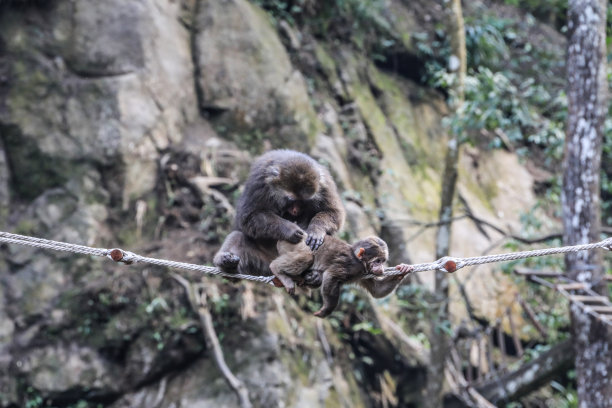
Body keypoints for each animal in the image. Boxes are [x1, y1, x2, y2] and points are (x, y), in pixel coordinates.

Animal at [214, 150, 344, 278]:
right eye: (291, 200)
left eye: (304, 202)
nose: (295, 210)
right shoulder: (259, 181)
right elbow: (249, 216)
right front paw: (290, 229)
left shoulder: (325, 184)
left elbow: (334, 213)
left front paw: (315, 230)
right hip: (263, 263)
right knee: (237, 236)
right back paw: (227, 263)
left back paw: (314, 276)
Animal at [270, 234, 414, 318]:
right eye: (378, 261)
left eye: (383, 261)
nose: (381, 267)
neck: (359, 260)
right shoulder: (352, 266)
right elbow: (331, 276)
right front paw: (327, 310)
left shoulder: (362, 273)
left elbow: (377, 290)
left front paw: (403, 270)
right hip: (290, 245)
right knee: (307, 256)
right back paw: (277, 269)